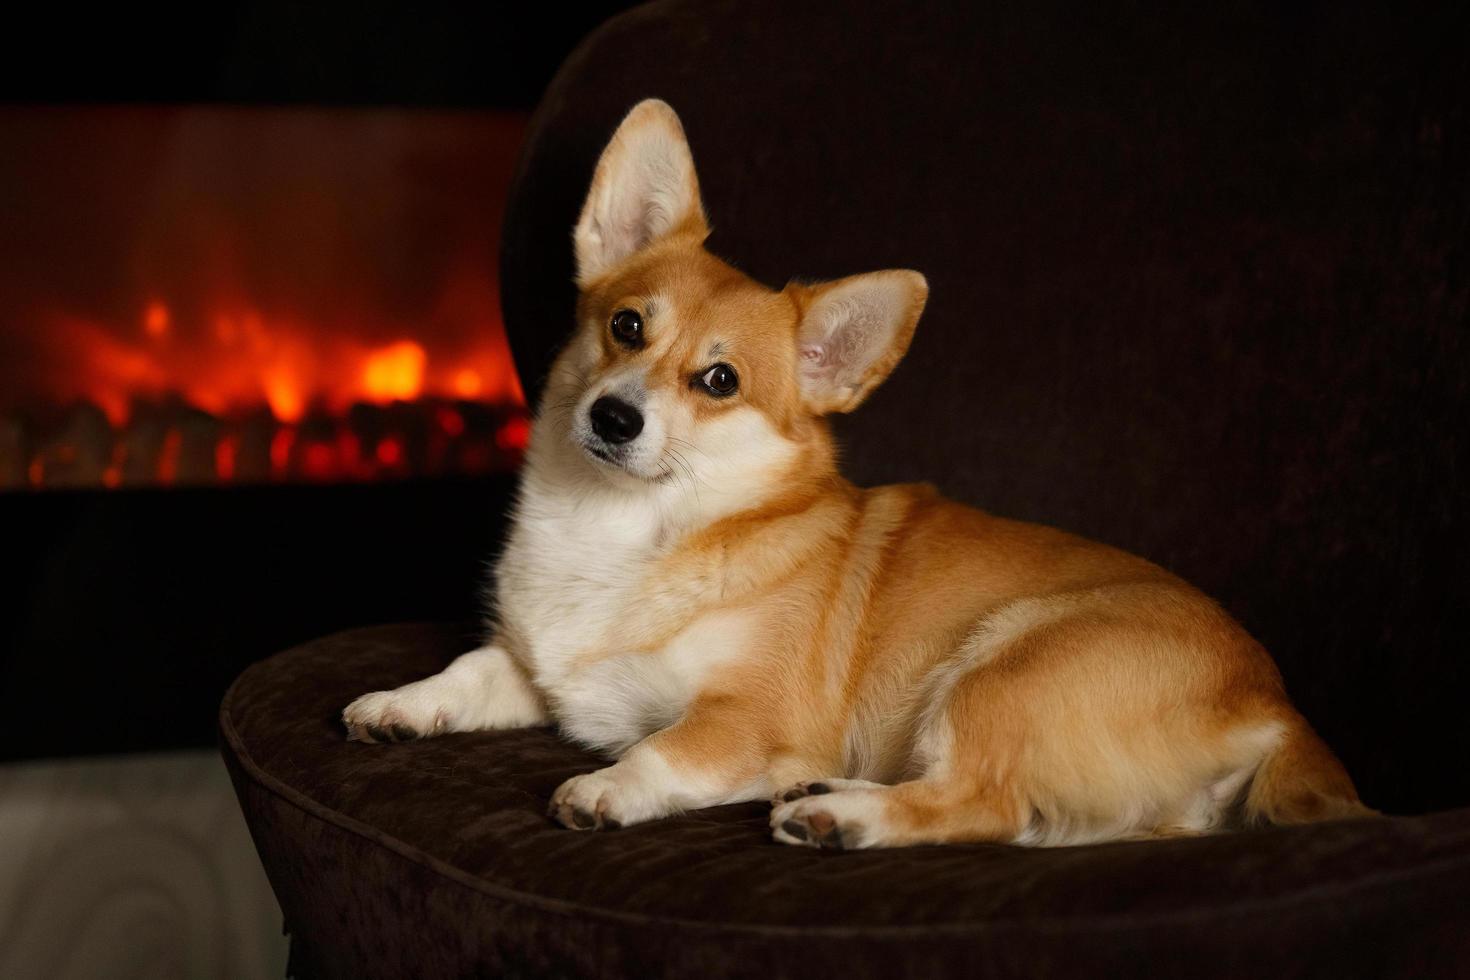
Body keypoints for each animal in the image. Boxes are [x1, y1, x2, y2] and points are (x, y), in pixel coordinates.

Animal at [341, 101, 1364, 852]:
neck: (630, 531)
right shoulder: (541, 672)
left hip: (1001, 665)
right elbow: (474, 668)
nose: (613, 417)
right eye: (626, 326)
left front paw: (605, 785)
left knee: (983, 805)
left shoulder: (741, 717)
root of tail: (1281, 713)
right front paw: (404, 705)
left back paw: (839, 813)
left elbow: (668, 748)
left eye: (720, 382)